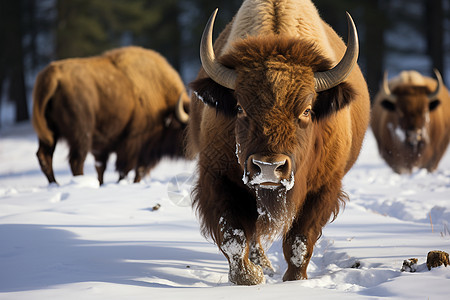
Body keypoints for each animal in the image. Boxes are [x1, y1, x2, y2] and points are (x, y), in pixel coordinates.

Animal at [31, 45, 189, 184]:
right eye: (187, 128)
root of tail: (53, 75)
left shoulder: (103, 149)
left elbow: (102, 169)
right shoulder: (133, 145)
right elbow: (128, 169)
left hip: (49, 133)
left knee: (44, 156)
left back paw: (55, 184)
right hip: (81, 135)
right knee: (76, 161)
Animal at [185, 0, 370, 286]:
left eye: (306, 110)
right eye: (240, 107)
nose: (268, 168)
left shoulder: (323, 189)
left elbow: (299, 241)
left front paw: (295, 280)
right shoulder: (219, 181)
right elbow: (234, 237)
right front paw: (251, 277)